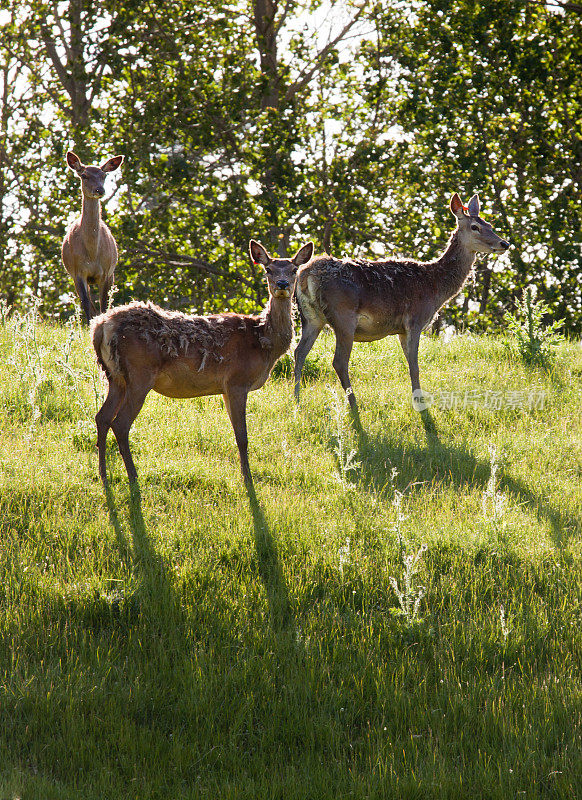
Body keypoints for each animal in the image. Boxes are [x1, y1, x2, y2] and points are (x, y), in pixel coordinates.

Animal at [61, 152, 124, 324]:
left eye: (104, 175)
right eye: (84, 175)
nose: (99, 190)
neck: (92, 253)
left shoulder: (106, 272)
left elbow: (104, 305)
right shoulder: (78, 272)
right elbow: (86, 304)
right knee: (89, 304)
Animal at [91, 238, 314, 488]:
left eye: (294, 269)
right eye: (268, 269)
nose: (282, 284)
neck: (262, 341)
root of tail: (100, 326)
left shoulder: (226, 388)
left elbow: (237, 434)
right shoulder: (236, 381)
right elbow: (243, 436)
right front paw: (247, 479)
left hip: (115, 377)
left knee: (102, 417)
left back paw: (103, 475)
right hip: (140, 374)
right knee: (120, 423)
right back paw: (133, 476)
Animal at [296, 191, 512, 410]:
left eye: (490, 225)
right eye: (475, 227)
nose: (504, 243)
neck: (435, 286)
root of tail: (306, 274)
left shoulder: (400, 329)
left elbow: (409, 362)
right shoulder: (415, 320)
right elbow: (415, 366)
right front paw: (419, 401)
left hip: (311, 317)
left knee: (299, 352)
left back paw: (297, 399)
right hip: (343, 315)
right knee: (339, 361)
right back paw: (354, 403)